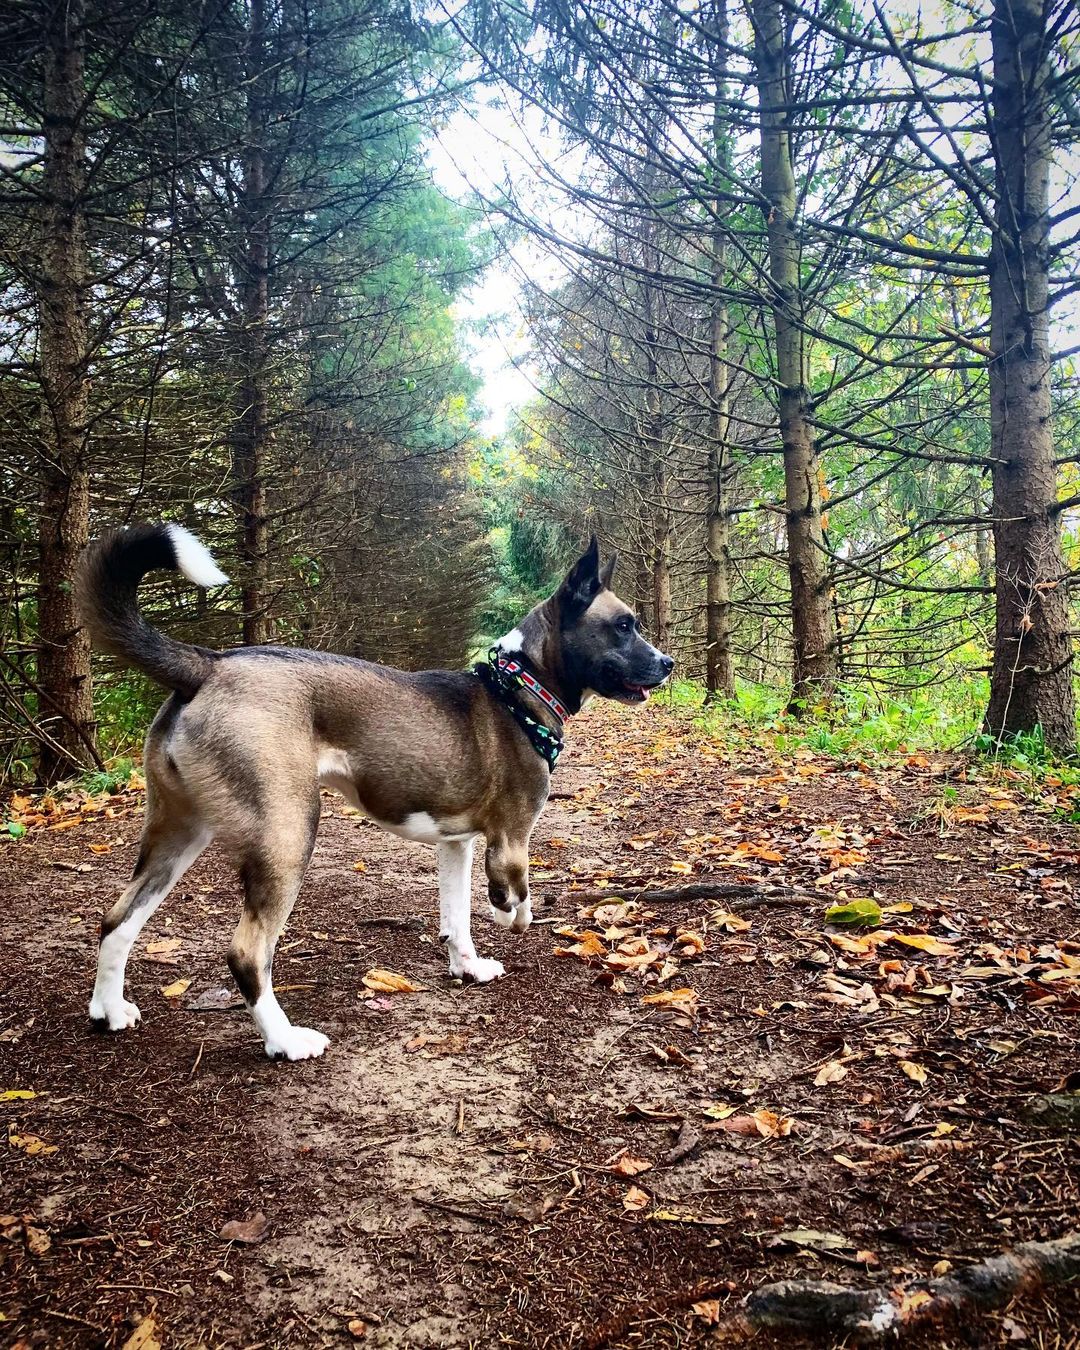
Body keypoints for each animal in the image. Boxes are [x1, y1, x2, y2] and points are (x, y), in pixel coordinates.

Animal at [80, 521, 675, 1058]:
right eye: (624, 626)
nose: (668, 663)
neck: (517, 688)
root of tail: (207, 666)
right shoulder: (509, 842)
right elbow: (514, 901)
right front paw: (511, 919)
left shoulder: (455, 845)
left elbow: (457, 919)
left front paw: (468, 967)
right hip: (287, 836)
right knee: (247, 954)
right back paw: (285, 1041)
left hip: (180, 832)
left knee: (116, 921)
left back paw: (108, 1010)